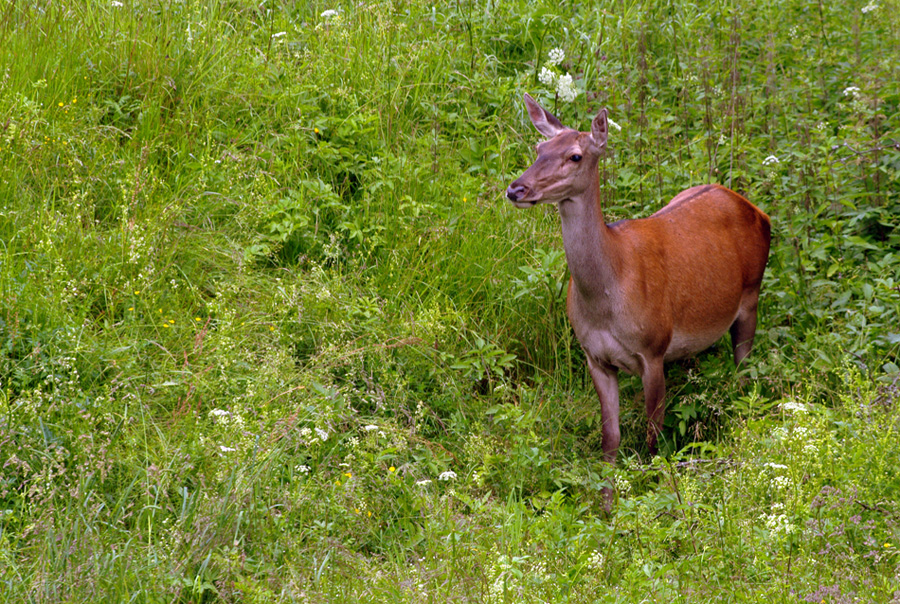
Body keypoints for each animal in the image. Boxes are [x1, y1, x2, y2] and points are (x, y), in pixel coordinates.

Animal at [506, 93, 772, 500]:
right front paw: (606, 507)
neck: (606, 299)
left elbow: (652, 440)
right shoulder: (595, 356)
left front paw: (653, 497)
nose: (516, 189)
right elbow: (609, 440)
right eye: (539, 148)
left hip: (751, 295)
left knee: (744, 374)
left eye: (575, 155)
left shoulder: (653, 348)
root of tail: (757, 210)